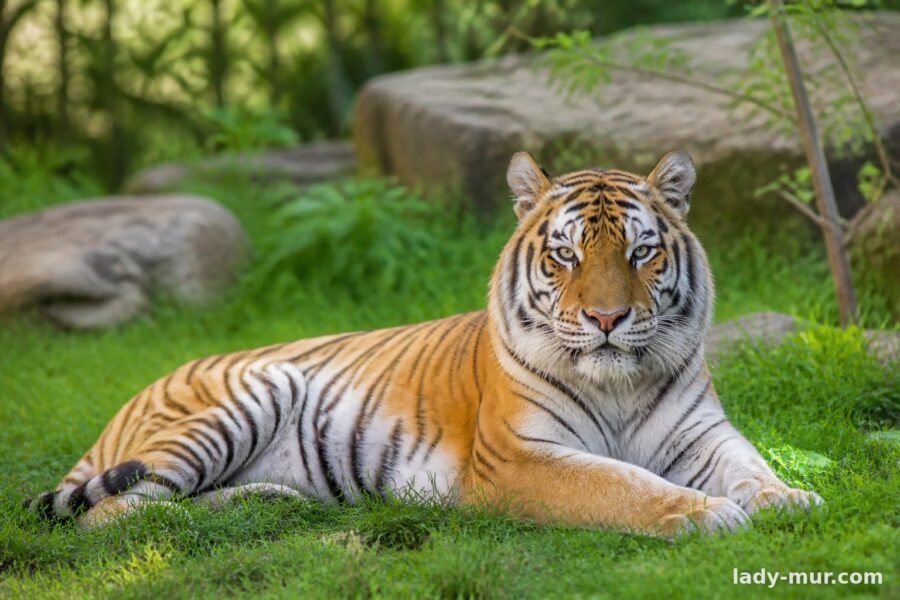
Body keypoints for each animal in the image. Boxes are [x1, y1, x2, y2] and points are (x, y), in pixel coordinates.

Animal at [30, 149, 821, 536]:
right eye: (565, 256)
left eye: (640, 252)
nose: (606, 320)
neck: (618, 381)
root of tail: (121, 408)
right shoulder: (522, 458)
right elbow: (621, 484)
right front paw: (705, 514)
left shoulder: (701, 435)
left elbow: (749, 466)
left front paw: (787, 497)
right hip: (241, 399)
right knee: (111, 513)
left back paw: (270, 502)